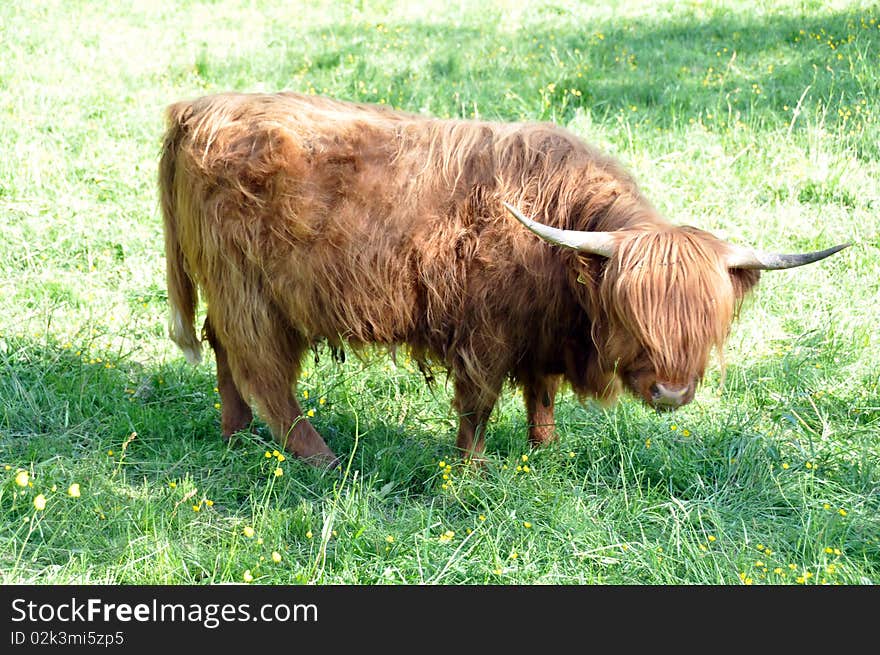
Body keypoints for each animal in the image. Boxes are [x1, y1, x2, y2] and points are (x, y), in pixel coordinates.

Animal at [158, 92, 844, 468]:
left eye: (709, 321)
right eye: (630, 312)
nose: (672, 393)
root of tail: (200, 108)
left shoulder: (540, 333)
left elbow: (541, 394)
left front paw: (546, 452)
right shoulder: (484, 331)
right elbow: (479, 403)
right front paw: (472, 471)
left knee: (224, 351)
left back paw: (234, 433)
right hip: (250, 290)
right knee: (263, 369)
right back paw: (320, 457)